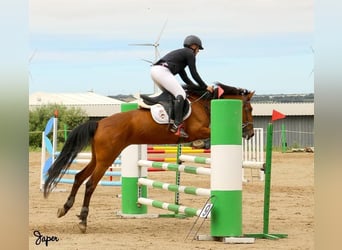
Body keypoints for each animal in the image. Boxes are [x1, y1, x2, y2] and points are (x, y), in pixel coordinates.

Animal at [42, 83, 254, 233]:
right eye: (249, 109)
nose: (250, 134)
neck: (203, 104)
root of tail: (100, 123)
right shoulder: (198, 130)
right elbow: (205, 134)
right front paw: (202, 144)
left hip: (98, 158)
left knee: (78, 177)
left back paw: (65, 209)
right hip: (107, 158)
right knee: (90, 184)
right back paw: (83, 221)